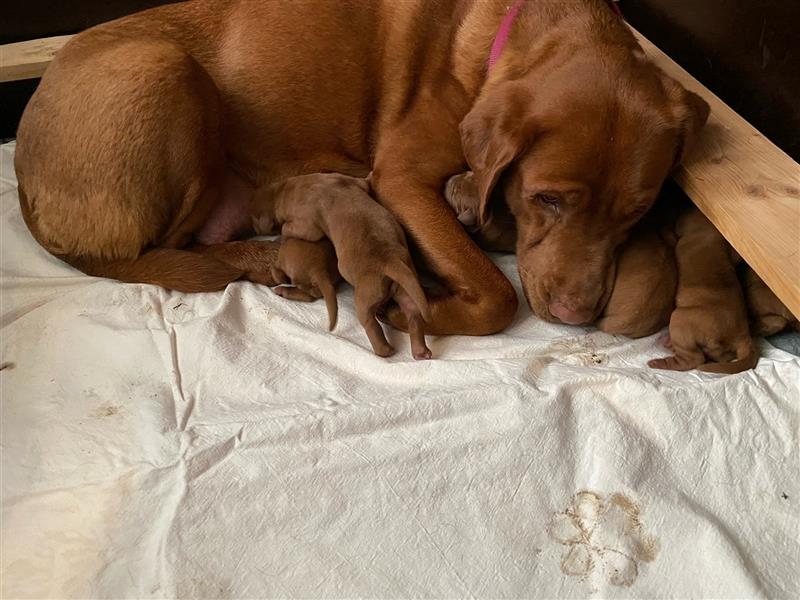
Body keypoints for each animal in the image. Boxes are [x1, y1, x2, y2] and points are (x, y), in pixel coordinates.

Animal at [15, 0, 708, 338]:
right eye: (548, 199)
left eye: (637, 213)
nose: (575, 316)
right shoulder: (400, 180)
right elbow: (499, 295)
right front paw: (419, 308)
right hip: (166, 68)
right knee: (168, 249)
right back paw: (259, 258)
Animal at [255, 173, 432, 360]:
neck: (290, 187)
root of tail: (390, 261)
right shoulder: (344, 179)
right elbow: (363, 183)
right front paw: (370, 175)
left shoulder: (306, 223)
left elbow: (291, 229)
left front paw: (282, 233)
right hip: (405, 290)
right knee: (413, 314)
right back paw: (421, 351)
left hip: (365, 298)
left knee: (371, 324)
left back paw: (384, 350)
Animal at [648, 209, 760, 372]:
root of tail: (742, 335)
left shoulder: (677, 237)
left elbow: (669, 233)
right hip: (719, 351)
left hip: (680, 318)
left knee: (693, 359)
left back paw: (660, 362)